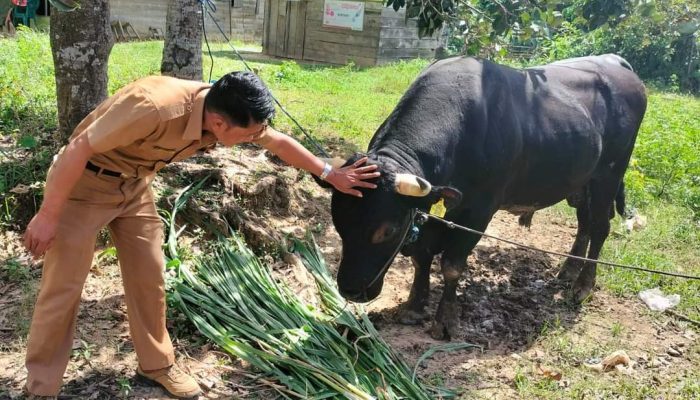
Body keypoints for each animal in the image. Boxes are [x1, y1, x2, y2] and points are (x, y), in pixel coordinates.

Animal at [326, 54, 648, 340]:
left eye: (387, 231)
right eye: (339, 225)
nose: (349, 290)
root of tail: (617, 63)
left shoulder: (479, 209)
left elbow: (452, 264)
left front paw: (445, 321)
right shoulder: (429, 204)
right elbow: (422, 253)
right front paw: (414, 306)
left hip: (610, 174)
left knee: (600, 227)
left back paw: (582, 285)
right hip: (582, 181)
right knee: (584, 223)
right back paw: (568, 271)